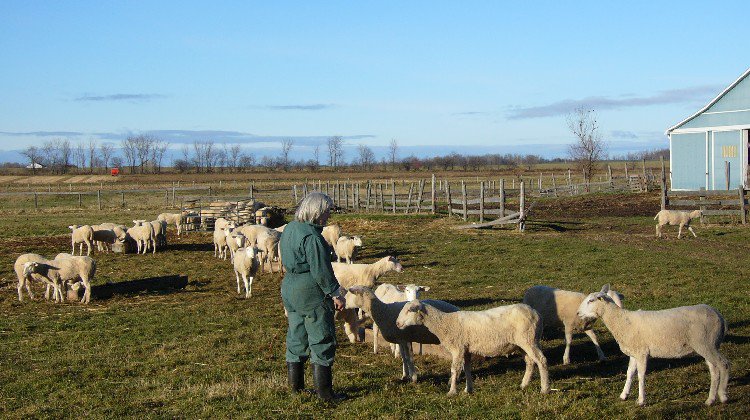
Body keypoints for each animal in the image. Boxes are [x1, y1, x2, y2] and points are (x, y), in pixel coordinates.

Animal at [396, 299, 549, 395]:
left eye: (409, 310)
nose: (397, 323)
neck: (445, 323)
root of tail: (537, 314)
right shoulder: (466, 350)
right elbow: (467, 369)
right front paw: (468, 390)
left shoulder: (457, 348)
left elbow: (454, 370)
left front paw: (452, 392)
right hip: (524, 343)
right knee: (530, 362)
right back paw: (524, 385)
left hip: (528, 339)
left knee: (541, 360)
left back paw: (545, 389)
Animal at [577, 284, 729, 406]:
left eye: (591, 300)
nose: (577, 313)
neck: (622, 321)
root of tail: (719, 315)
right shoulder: (634, 352)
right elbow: (629, 373)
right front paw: (624, 395)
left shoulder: (642, 352)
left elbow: (641, 375)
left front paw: (641, 400)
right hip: (707, 345)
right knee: (714, 370)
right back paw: (710, 399)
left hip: (707, 343)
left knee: (724, 364)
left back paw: (722, 395)